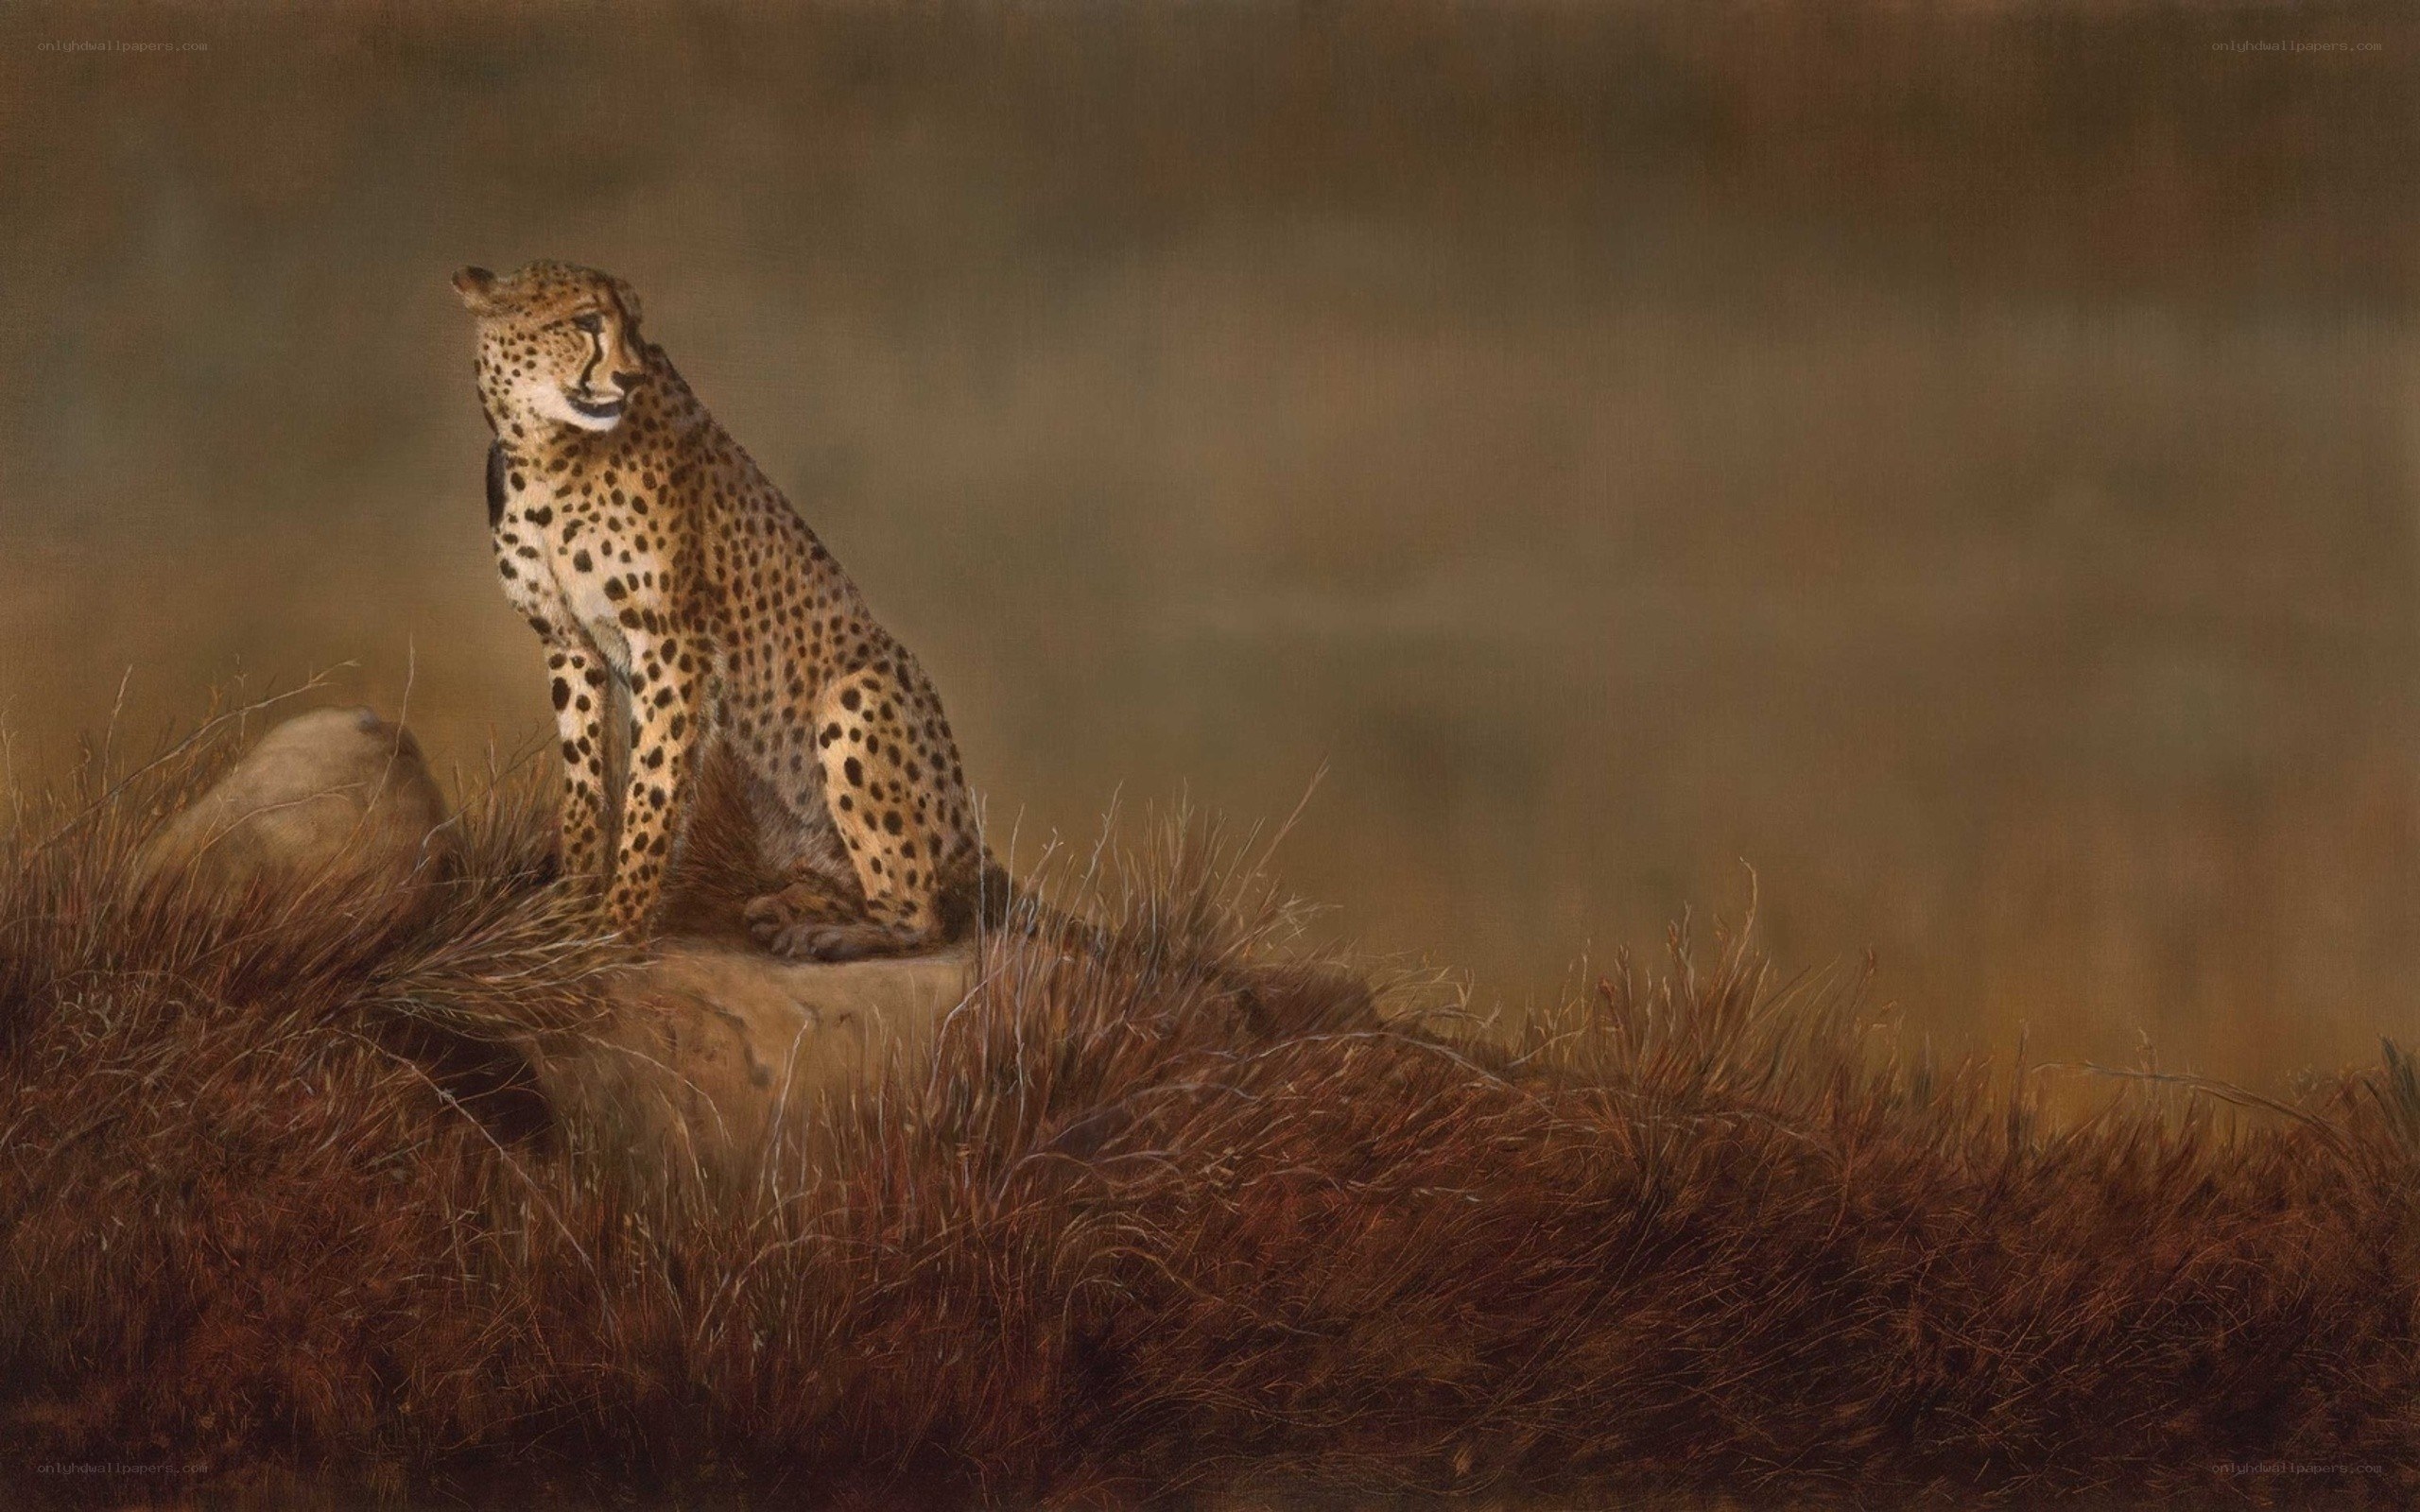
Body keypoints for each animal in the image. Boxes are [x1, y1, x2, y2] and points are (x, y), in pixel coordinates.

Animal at [453, 259, 991, 961]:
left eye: (634, 323)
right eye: (586, 320)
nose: (629, 376)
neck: (548, 451)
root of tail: (971, 846)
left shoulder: (672, 643)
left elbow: (652, 787)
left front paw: (618, 922)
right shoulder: (568, 643)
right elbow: (585, 779)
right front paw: (570, 903)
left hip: (858, 696)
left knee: (919, 915)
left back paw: (827, 934)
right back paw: (789, 903)